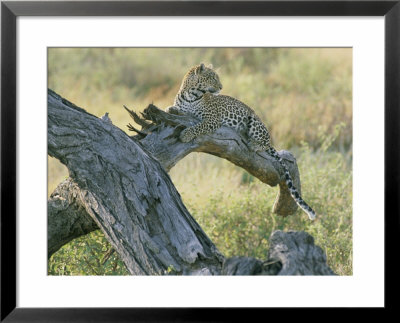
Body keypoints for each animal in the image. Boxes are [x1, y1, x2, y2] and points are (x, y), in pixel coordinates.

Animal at [166, 63, 316, 220]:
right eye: (213, 77)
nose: (221, 87)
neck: (190, 95)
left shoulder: (212, 120)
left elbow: (198, 127)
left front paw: (186, 135)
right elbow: (174, 109)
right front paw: (169, 110)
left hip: (254, 121)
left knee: (264, 143)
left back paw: (253, 144)